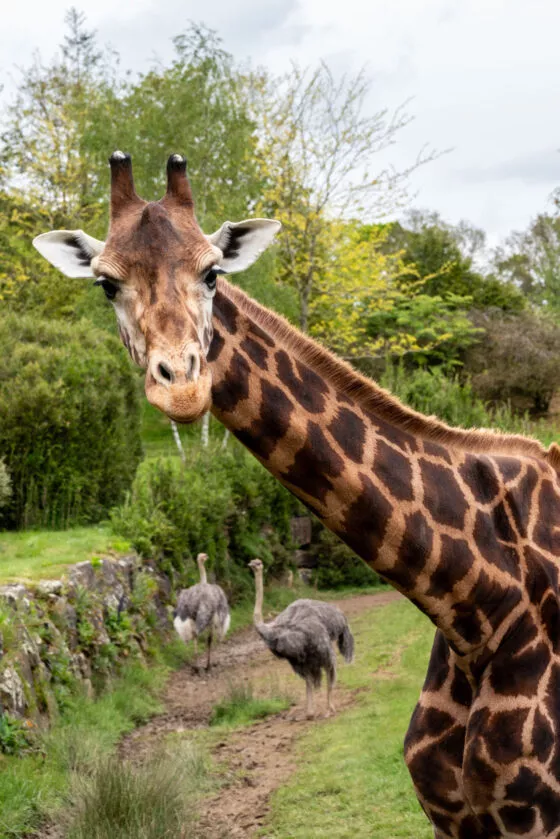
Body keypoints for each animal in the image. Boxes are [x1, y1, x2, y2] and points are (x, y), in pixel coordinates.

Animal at [34, 152, 560, 838]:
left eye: (212, 273)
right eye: (105, 283)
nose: (182, 387)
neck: (475, 606)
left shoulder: (534, 818)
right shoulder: (455, 817)